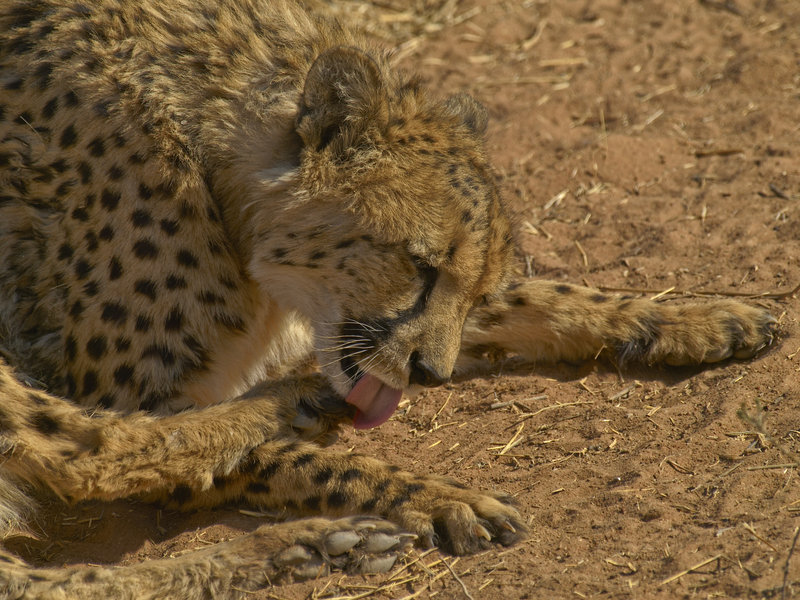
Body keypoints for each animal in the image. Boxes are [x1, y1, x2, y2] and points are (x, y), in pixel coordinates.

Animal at [0, 0, 776, 597]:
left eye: (470, 283)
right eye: (419, 265)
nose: (430, 375)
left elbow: (541, 296)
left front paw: (698, 315)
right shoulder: (138, 393)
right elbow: (303, 461)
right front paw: (439, 495)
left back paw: (299, 544)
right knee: (91, 454)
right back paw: (288, 430)